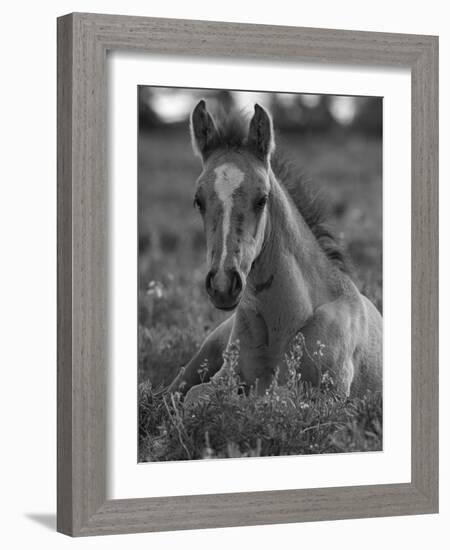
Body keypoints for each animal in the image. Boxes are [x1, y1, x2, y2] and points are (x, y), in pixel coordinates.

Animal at [167, 100, 382, 402]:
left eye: (262, 199)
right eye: (198, 200)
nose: (223, 284)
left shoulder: (329, 396)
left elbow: (267, 399)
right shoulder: (223, 378)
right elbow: (195, 398)